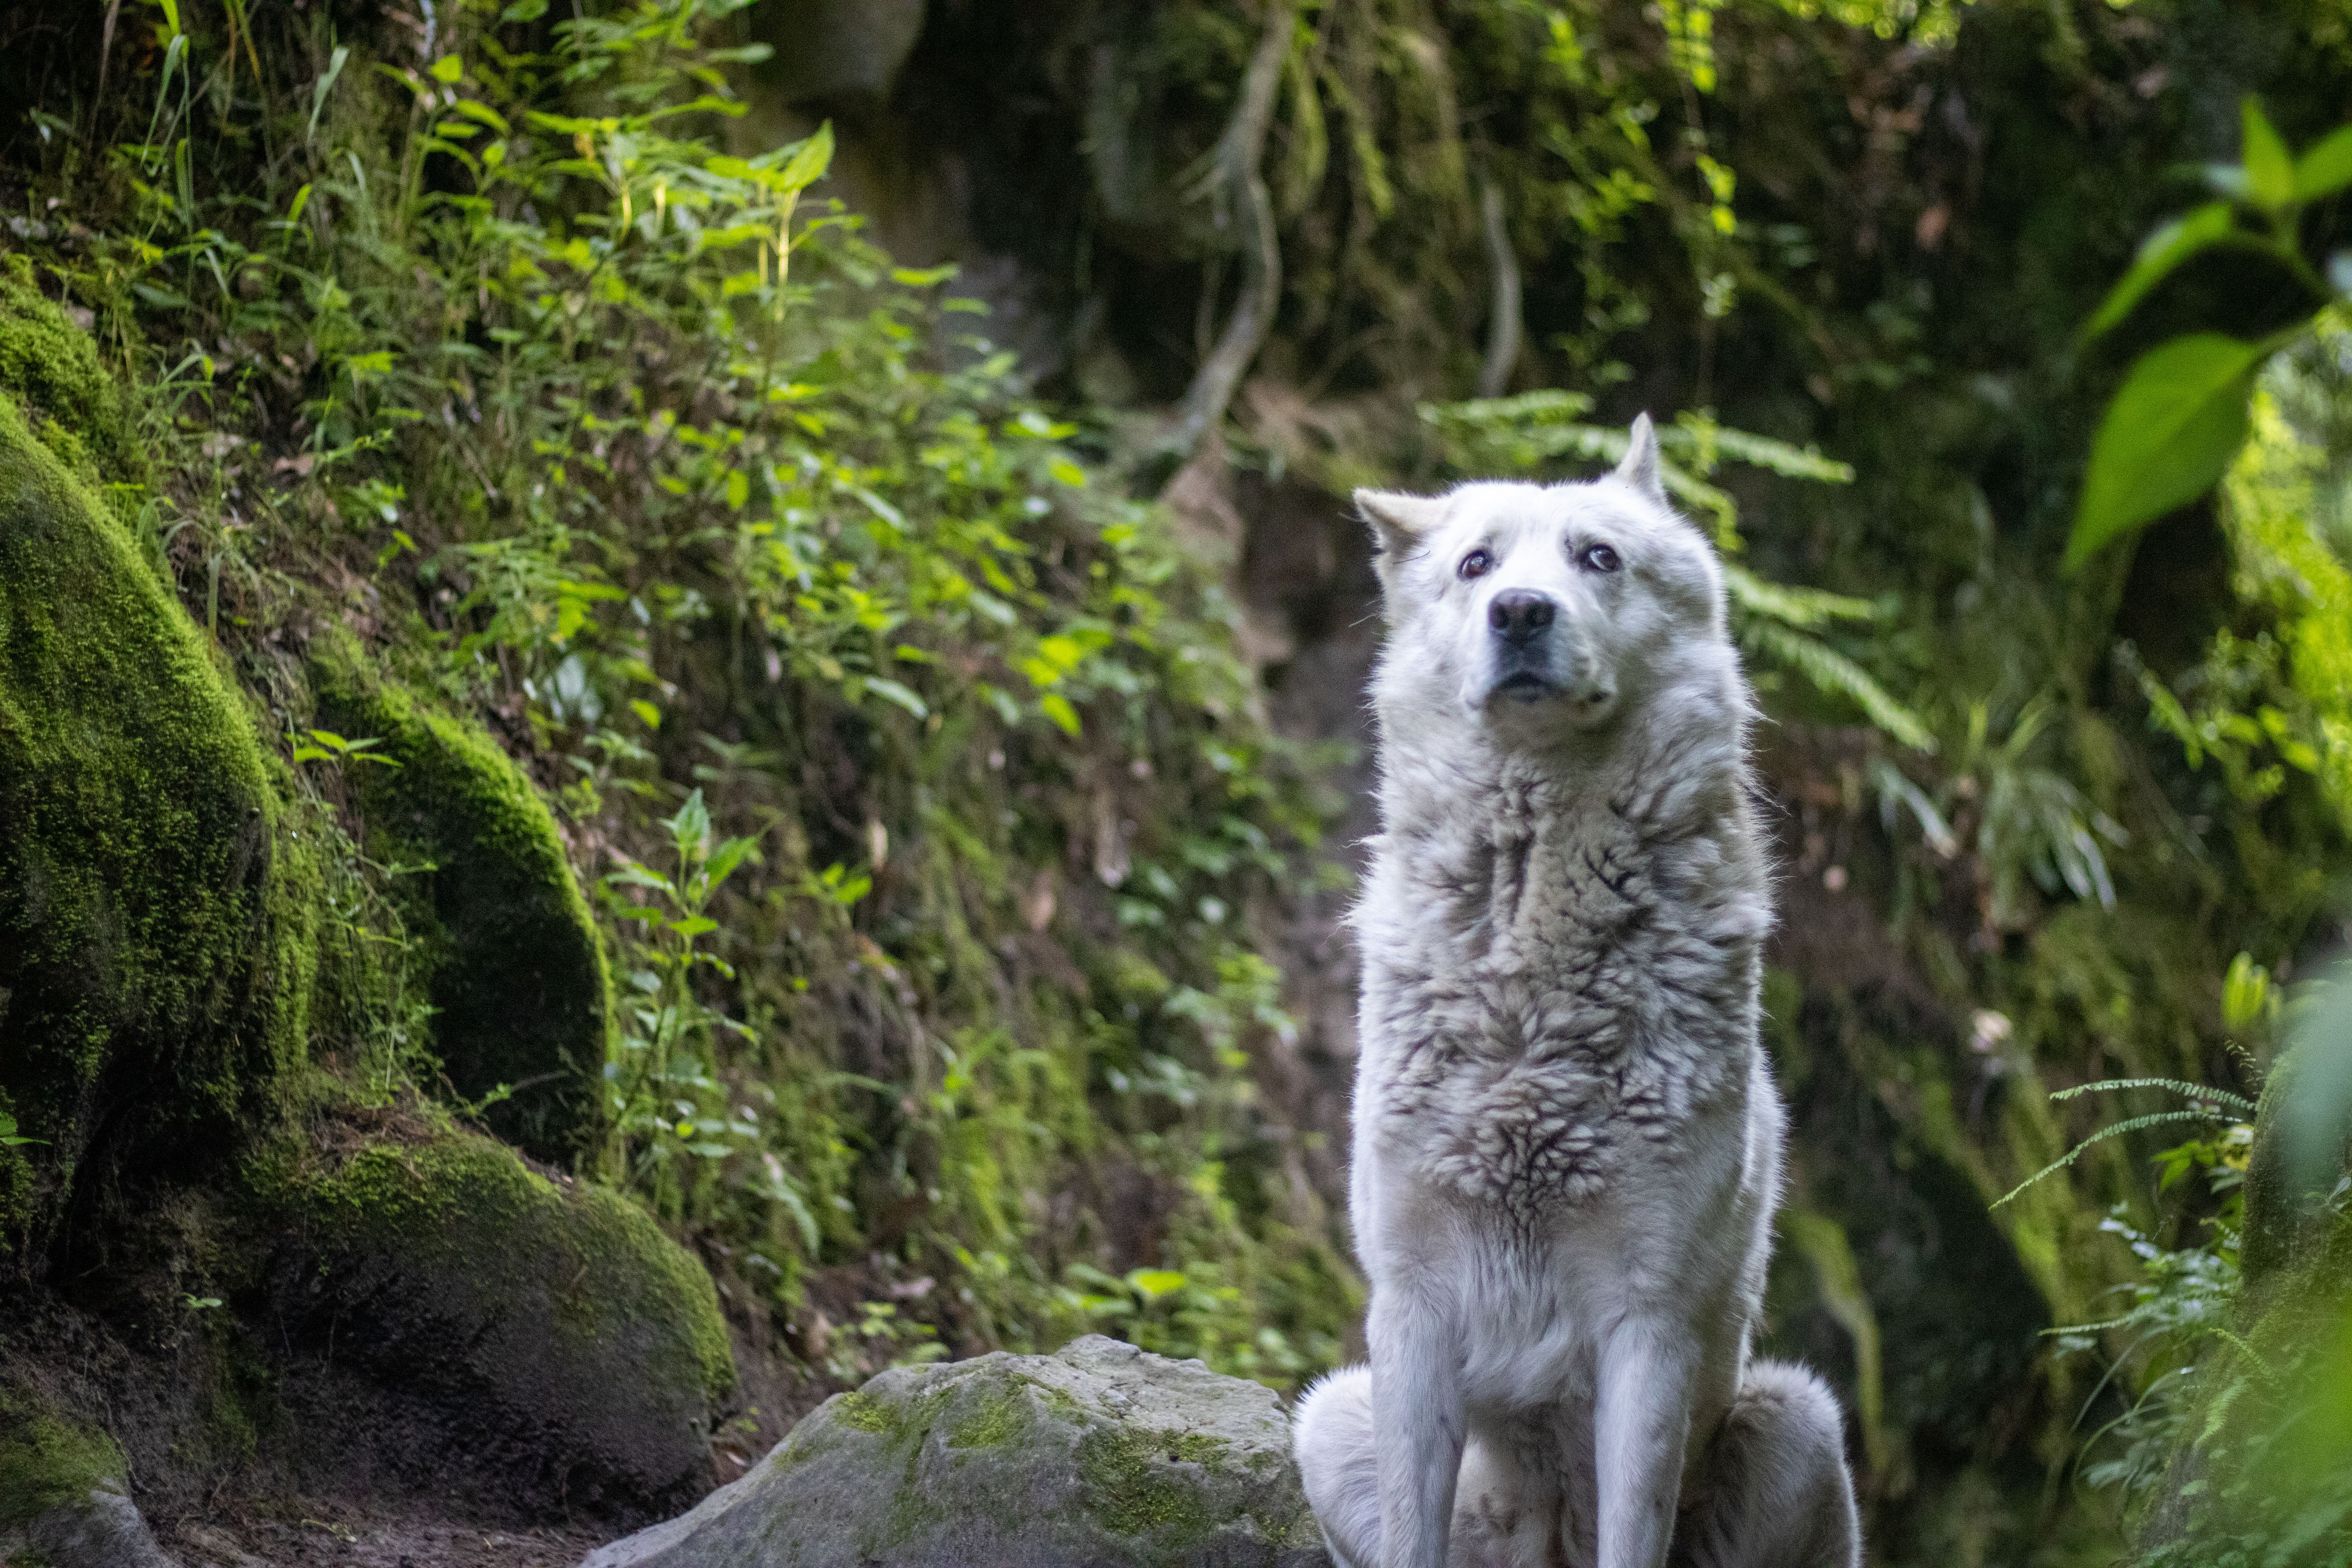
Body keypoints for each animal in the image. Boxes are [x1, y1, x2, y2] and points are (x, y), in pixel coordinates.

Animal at [1291, 416, 1860, 1568]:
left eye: (1598, 557)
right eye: (1477, 565)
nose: (1521, 609)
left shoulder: (1646, 1324)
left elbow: (1632, 1534)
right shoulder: (1413, 1307)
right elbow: (1412, 1535)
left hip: (1804, 1422)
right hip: (1329, 1416)